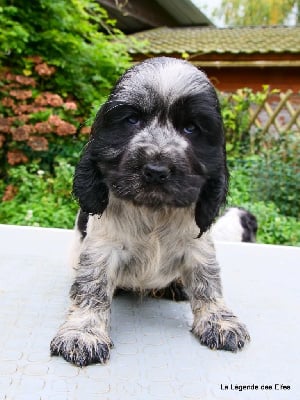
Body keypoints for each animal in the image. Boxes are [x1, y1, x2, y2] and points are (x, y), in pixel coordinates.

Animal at [50, 56, 250, 366]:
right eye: (132, 120)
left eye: (191, 128)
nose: (156, 171)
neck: (154, 212)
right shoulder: (102, 247)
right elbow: (92, 286)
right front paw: (83, 333)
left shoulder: (198, 246)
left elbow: (207, 281)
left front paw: (220, 321)